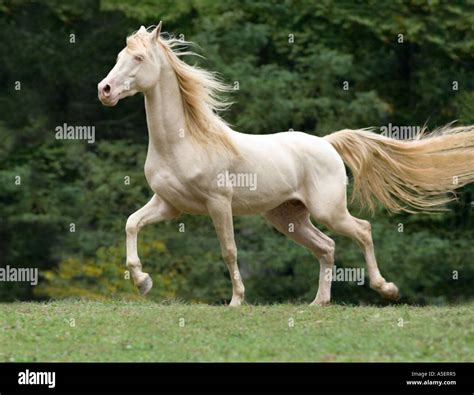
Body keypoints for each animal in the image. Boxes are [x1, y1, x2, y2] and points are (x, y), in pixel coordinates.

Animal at [97, 22, 474, 306]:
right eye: (118, 56)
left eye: (139, 57)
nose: (105, 89)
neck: (183, 141)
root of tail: (326, 143)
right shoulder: (169, 204)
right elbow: (131, 224)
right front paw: (143, 281)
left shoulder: (218, 203)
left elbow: (229, 251)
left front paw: (237, 300)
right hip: (288, 217)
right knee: (327, 247)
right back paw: (318, 302)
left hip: (327, 211)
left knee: (362, 230)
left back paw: (387, 289)